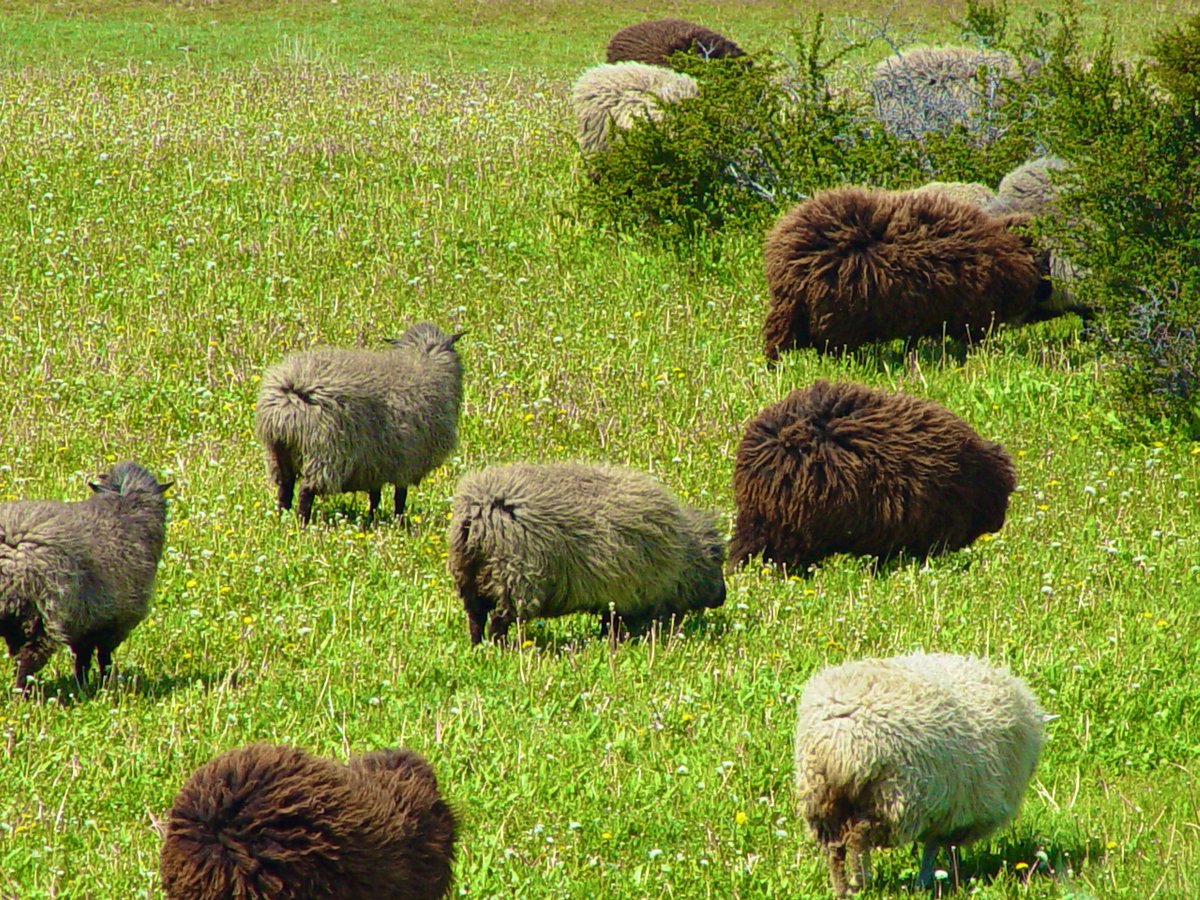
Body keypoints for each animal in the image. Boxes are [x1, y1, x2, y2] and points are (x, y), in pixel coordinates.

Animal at [0, 461, 171, 692]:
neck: (124, 512)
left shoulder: (84, 623)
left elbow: (83, 658)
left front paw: (83, 686)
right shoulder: (113, 621)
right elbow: (101, 658)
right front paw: (103, 685)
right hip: (44, 614)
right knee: (29, 659)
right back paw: (22, 695)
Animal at [254, 322, 464, 525]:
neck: (425, 364)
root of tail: (289, 394)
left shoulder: (375, 462)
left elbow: (375, 496)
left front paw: (373, 518)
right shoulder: (406, 462)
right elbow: (399, 497)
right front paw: (399, 522)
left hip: (278, 452)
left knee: (285, 486)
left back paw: (281, 519)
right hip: (324, 452)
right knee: (306, 490)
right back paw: (302, 522)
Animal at [448, 461, 726, 644]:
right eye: (718, 561)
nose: (722, 597)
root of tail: (480, 511)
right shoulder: (634, 595)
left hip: (469, 577)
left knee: (476, 617)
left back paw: (477, 647)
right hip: (515, 579)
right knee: (498, 620)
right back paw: (500, 649)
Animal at [761, 187, 1055, 358]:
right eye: (1042, 259)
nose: (1049, 289)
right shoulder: (970, 316)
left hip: (792, 310)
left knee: (778, 336)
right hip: (834, 314)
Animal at [794, 652, 1046, 896]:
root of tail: (837, 738)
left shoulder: (943, 812)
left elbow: (934, 847)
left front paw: (929, 879)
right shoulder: (956, 811)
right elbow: (942, 848)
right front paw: (947, 877)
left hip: (822, 797)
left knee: (836, 848)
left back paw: (842, 888)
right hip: (885, 794)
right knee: (858, 839)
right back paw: (860, 882)